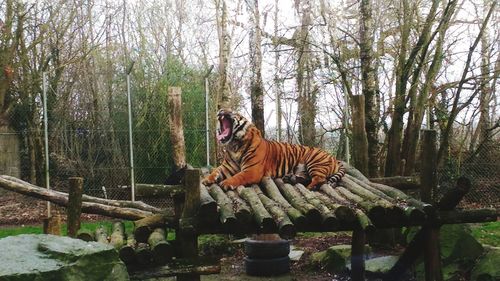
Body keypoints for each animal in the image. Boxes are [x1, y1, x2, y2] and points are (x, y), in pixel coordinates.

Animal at [201, 107, 346, 190]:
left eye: (234, 112)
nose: (220, 110)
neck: (235, 146)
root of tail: (333, 157)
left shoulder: (252, 170)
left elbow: (238, 176)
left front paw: (225, 183)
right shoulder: (226, 167)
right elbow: (215, 171)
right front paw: (206, 180)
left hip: (314, 161)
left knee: (320, 179)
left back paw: (310, 187)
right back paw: (291, 179)